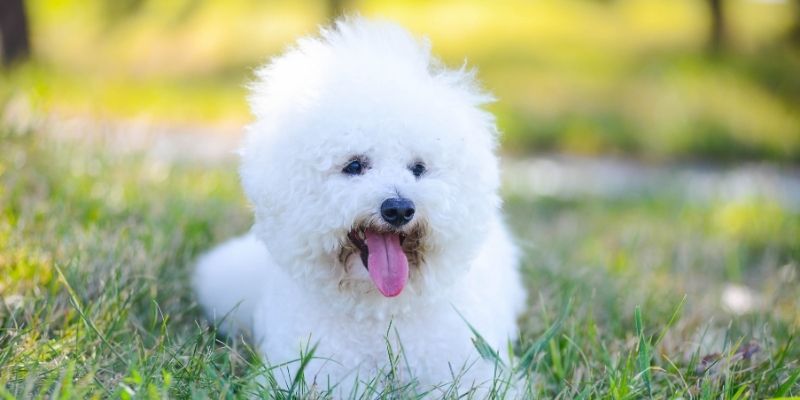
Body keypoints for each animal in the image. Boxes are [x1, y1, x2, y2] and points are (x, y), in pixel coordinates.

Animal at [195, 18, 524, 396]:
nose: (399, 209)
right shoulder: (317, 373)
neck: (379, 312)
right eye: (354, 165)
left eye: (418, 168)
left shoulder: (468, 372)